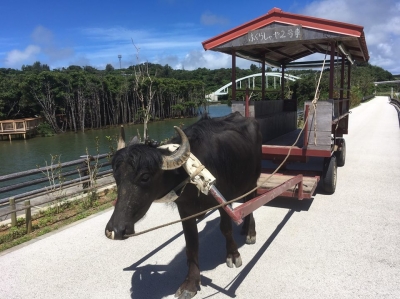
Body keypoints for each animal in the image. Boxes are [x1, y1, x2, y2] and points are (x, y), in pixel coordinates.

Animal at [106, 112, 262, 298]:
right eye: (116, 177)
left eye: (145, 177)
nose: (115, 230)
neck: (189, 176)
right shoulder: (185, 210)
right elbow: (191, 242)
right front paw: (191, 283)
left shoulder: (226, 200)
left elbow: (226, 228)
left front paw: (233, 255)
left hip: (253, 179)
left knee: (251, 201)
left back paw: (250, 232)